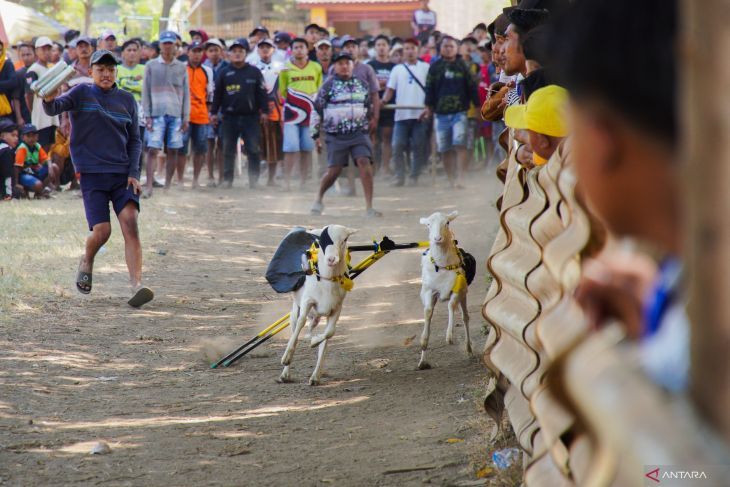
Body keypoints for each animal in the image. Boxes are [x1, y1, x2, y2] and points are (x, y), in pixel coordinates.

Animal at [278, 226, 356, 388]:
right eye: (320, 241)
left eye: (345, 239)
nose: (331, 259)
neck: (327, 282)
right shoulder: (308, 301)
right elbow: (300, 323)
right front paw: (287, 357)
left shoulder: (337, 308)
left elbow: (330, 333)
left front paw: (314, 342)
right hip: (295, 310)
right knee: (296, 326)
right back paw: (285, 374)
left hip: (320, 317)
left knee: (323, 341)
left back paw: (315, 376)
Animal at [416, 211, 472, 370]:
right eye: (428, 224)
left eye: (447, 222)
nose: (437, 238)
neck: (441, 266)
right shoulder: (429, 291)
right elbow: (428, 312)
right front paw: (422, 360)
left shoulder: (457, 290)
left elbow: (451, 306)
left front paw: (449, 336)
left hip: (464, 294)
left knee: (465, 317)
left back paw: (469, 349)